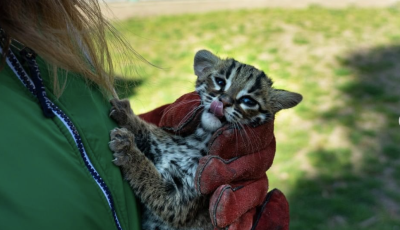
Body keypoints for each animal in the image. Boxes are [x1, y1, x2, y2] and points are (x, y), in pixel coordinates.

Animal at [108, 49, 302, 229]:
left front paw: (127, 151)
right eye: (220, 81)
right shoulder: (163, 144)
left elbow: (148, 176)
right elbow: (148, 132)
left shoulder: (179, 200)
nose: (223, 101)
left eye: (248, 100)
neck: (201, 137)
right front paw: (126, 115)